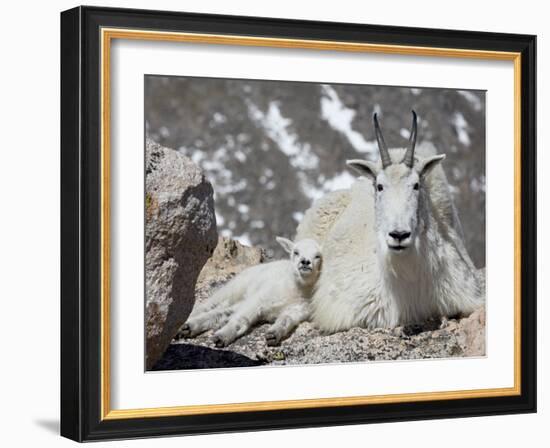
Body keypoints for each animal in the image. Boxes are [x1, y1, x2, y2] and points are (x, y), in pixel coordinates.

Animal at [177, 238, 324, 346]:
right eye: (296, 252)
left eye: (318, 256)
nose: (305, 262)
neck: (295, 289)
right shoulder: (260, 299)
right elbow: (242, 319)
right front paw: (222, 336)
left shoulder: (298, 310)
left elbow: (285, 320)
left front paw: (273, 335)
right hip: (235, 288)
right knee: (209, 305)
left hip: (241, 299)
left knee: (221, 313)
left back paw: (188, 328)